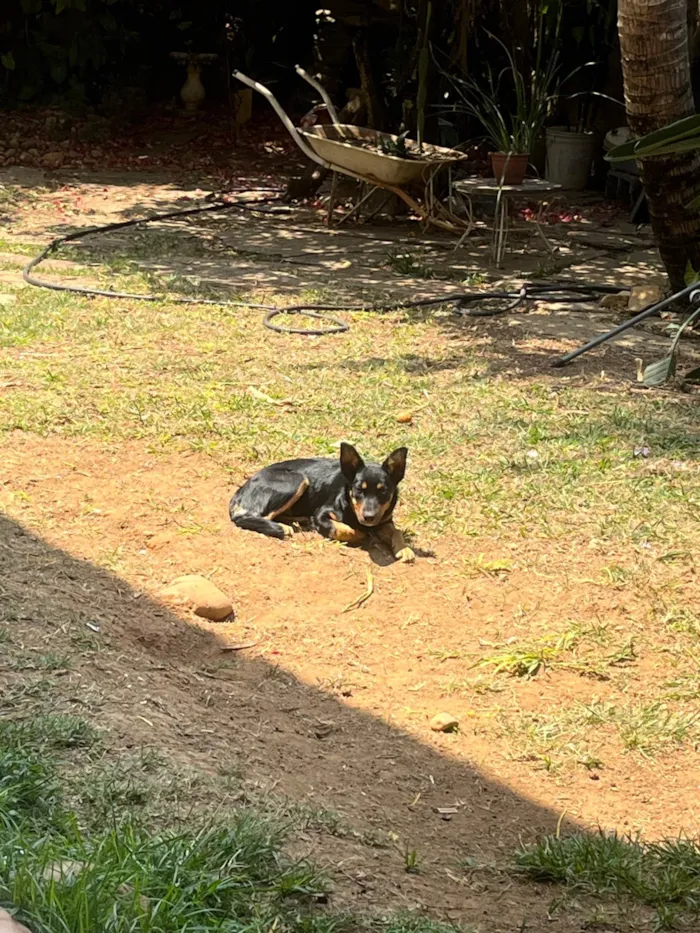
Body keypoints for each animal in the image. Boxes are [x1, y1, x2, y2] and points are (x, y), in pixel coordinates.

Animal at [230, 442, 416, 560]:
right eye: (358, 490)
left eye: (383, 491)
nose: (369, 517)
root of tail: (242, 489)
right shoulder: (322, 514)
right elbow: (347, 530)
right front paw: (362, 533)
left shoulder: (384, 520)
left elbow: (397, 531)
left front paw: (404, 549)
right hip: (296, 480)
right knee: (246, 517)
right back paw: (282, 527)